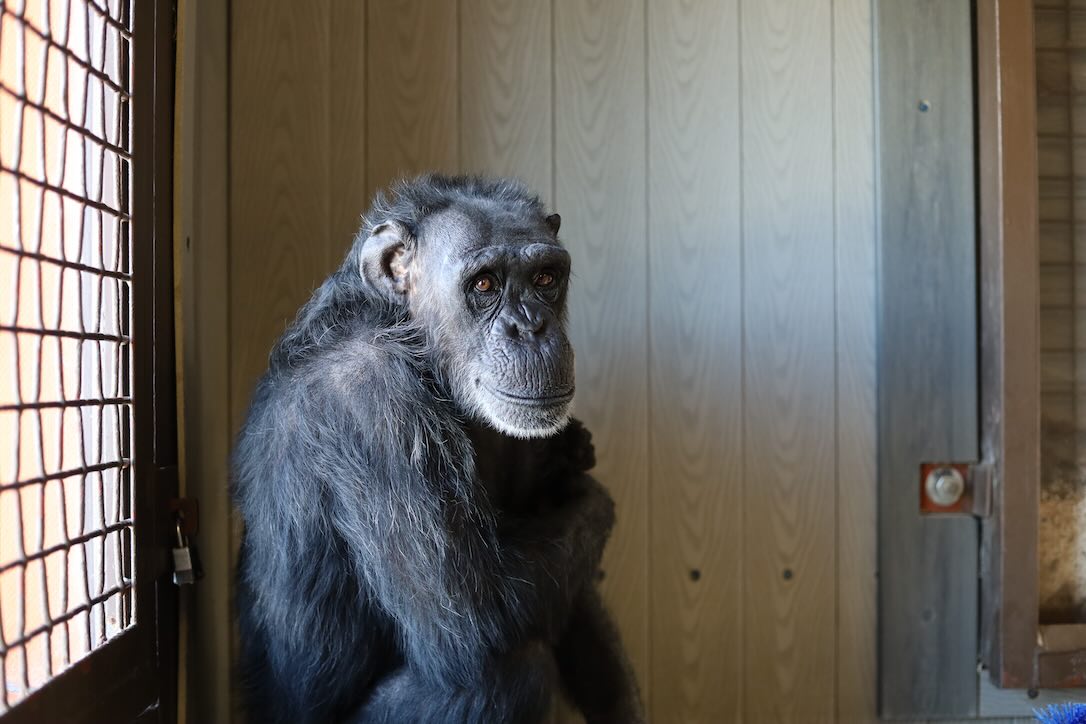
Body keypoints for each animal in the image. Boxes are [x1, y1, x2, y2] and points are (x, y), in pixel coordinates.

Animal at [231, 175, 644, 723]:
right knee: (511, 668)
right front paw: (590, 485)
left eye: (545, 277)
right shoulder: (370, 403)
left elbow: (568, 589)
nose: (531, 327)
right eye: (485, 285)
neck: (410, 339)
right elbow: (474, 610)